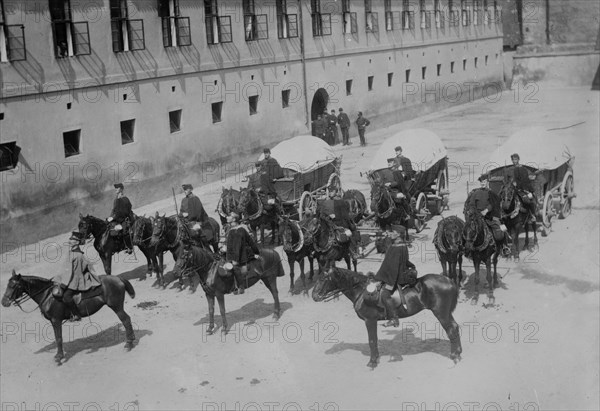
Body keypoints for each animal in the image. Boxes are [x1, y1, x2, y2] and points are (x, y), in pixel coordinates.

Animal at [1, 272, 135, 366]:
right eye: (7, 285)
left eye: (14, 285)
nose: (4, 302)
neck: (48, 295)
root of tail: (117, 278)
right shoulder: (53, 321)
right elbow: (57, 338)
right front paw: (59, 356)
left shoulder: (56, 320)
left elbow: (59, 338)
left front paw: (59, 357)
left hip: (117, 307)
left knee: (126, 320)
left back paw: (128, 344)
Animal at [312, 268, 462, 370]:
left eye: (323, 279)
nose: (314, 296)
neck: (362, 291)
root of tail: (448, 280)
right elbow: (374, 340)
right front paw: (376, 359)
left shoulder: (370, 320)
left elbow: (372, 340)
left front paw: (372, 362)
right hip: (445, 313)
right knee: (455, 327)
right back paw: (457, 353)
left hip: (441, 313)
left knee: (451, 330)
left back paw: (454, 356)